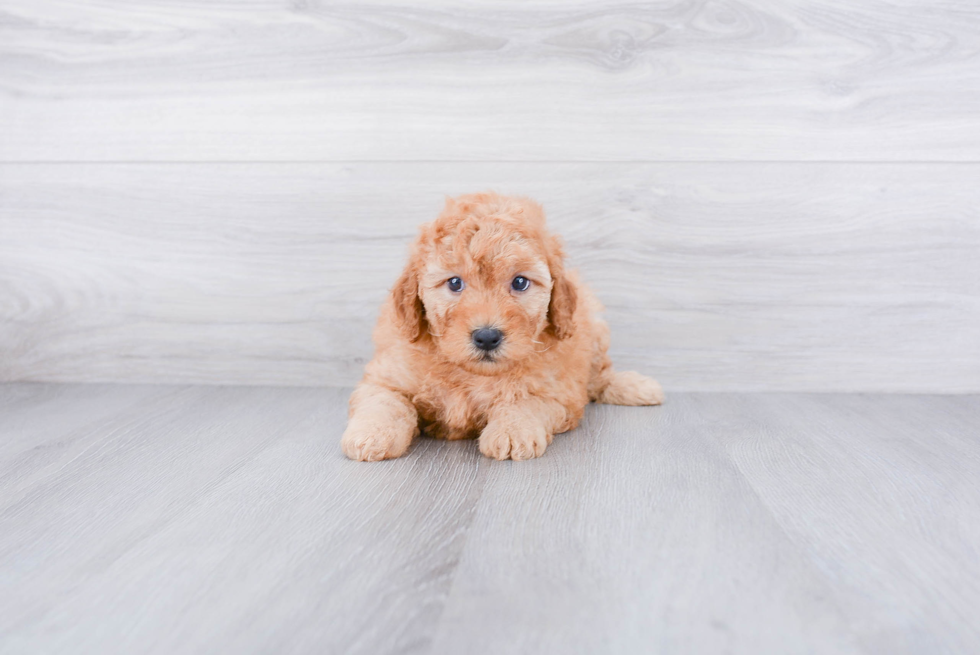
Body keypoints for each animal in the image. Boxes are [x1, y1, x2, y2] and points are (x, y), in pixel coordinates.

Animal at [340, 192, 664, 464]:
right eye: (454, 283)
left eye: (519, 282)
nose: (487, 336)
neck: (471, 373)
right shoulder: (387, 376)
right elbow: (384, 402)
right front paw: (370, 435)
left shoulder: (557, 390)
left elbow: (526, 401)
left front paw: (512, 432)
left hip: (594, 328)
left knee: (600, 376)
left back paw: (637, 387)